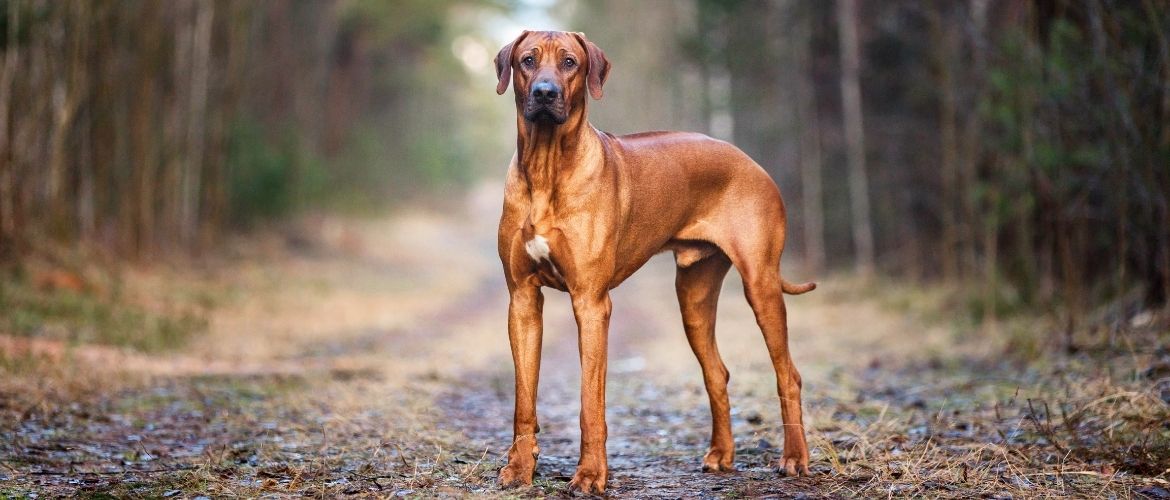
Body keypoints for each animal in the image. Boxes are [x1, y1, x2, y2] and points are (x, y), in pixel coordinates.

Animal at [493, 32, 814, 496]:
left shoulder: (591, 304)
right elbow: (523, 400)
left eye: (570, 63)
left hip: (761, 284)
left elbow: (590, 404)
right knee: (717, 372)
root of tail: (750, 160)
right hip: (694, 296)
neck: (546, 166)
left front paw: (590, 475)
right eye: (527, 61)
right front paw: (519, 469)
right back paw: (721, 455)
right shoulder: (521, 300)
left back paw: (794, 457)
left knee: (788, 373)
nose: (545, 93)